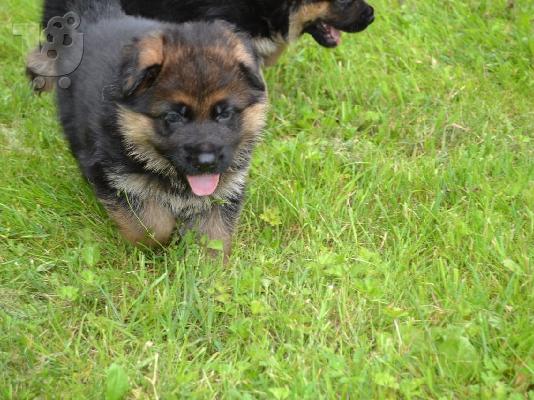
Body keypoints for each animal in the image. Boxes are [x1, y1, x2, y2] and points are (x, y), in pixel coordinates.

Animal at [54, 0, 268, 256]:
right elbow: (152, 225)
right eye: (174, 117)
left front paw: (207, 263)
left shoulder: (225, 188)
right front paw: (157, 245)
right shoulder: (117, 178)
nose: (206, 162)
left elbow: (213, 234)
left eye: (225, 114)